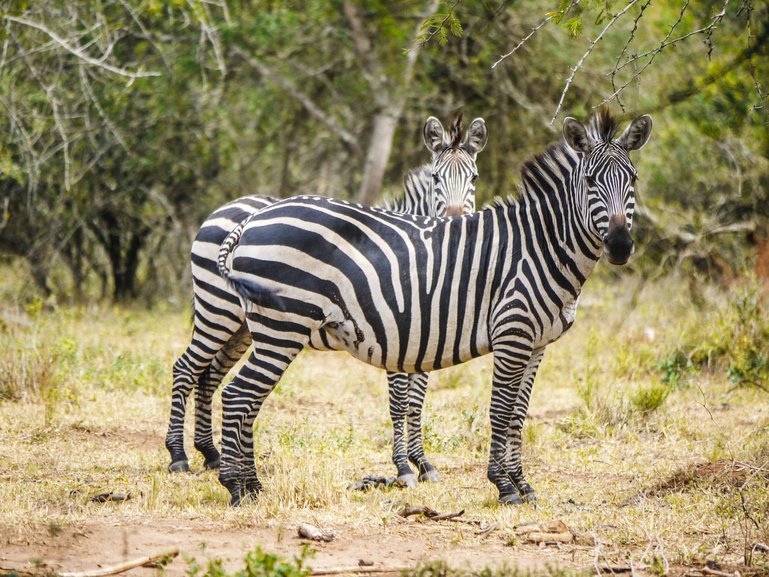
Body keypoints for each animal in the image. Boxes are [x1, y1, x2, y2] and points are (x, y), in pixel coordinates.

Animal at [163, 113, 488, 486]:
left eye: (474, 178)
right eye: (436, 178)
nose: (456, 221)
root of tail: (226, 207)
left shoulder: (427, 336)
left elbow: (416, 401)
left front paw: (423, 463)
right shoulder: (397, 331)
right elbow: (399, 401)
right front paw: (403, 468)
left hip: (244, 326)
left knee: (209, 375)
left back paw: (211, 454)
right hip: (217, 309)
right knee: (186, 368)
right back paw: (178, 456)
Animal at [218, 108, 656, 504]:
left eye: (633, 179)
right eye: (590, 181)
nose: (620, 246)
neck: (541, 246)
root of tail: (253, 217)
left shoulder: (537, 344)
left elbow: (518, 415)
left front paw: (524, 485)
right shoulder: (511, 334)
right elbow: (499, 410)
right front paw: (503, 486)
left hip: (260, 329)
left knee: (238, 394)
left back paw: (251, 486)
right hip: (280, 326)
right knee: (237, 394)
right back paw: (237, 487)